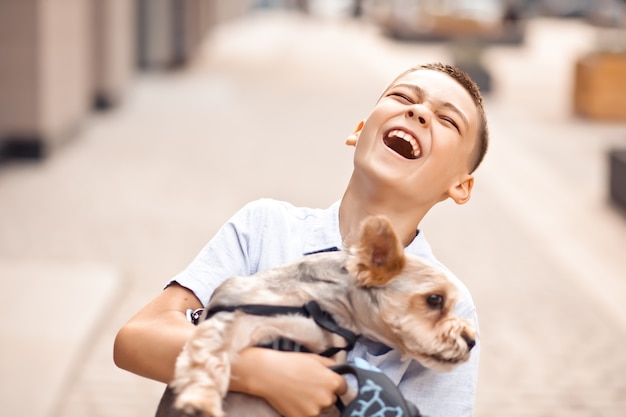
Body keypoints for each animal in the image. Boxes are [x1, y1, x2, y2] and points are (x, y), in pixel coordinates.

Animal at [168, 214, 476, 416]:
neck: (319, 307)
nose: (472, 340)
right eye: (435, 299)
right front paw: (201, 399)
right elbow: (210, 355)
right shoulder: (239, 319)